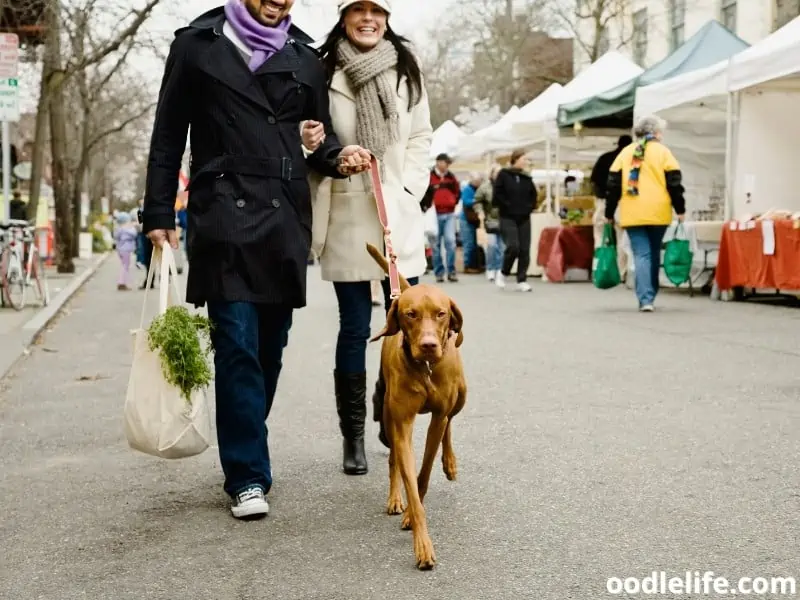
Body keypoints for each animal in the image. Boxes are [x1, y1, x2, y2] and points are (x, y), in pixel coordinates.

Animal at [366, 241, 466, 568]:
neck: (425, 369)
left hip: (462, 395)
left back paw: (450, 462)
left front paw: (413, 513)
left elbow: (423, 474)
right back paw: (395, 498)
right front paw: (421, 539)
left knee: (450, 423)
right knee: (393, 461)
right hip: (387, 416)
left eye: (440, 314)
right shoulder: (401, 424)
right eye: (411, 314)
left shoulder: (437, 417)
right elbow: (409, 475)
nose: (429, 345)